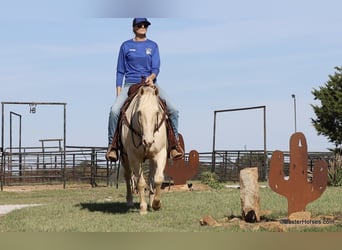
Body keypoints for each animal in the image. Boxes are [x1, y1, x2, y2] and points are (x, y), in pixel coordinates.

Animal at [120, 84, 168, 215]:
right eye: (139, 112)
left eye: (157, 112)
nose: (148, 141)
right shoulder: (134, 157)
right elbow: (140, 183)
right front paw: (142, 208)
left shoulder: (161, 153)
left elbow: (158, 179)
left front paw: (156, 203)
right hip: (124, 157)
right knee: (128, 176)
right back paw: (130, 201)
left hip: (151, 158)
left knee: (151, 177)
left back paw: (151, 201)